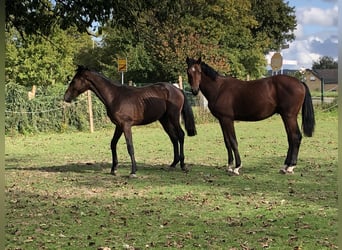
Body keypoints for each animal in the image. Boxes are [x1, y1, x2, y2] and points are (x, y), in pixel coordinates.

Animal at [65, 65, 196, 177]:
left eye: (74, 80)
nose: (66, 97)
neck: (114, 96)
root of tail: (178, 90)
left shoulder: (126, 125)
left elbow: (130, 146)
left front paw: (133, 171)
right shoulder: (118, 126)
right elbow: (113, 143)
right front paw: (114, 169)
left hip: (173, 117)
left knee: (180, 135)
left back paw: (183, 165)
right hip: (164, 120)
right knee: (173, 138)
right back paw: (173, 164)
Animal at [187, 57, 316, 176]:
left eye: (199, 71)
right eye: (188, 72)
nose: (194, 90)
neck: (219, 88)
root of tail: (300, 83)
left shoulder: (228, 119)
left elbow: (233, 141)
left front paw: (237, 167)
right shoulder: (222, 120)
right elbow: (227, 142)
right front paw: (229, 166)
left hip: (290, 116)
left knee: (296, 137)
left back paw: (291, 167)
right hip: (286, 116)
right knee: (291, 138)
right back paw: (285, 166)